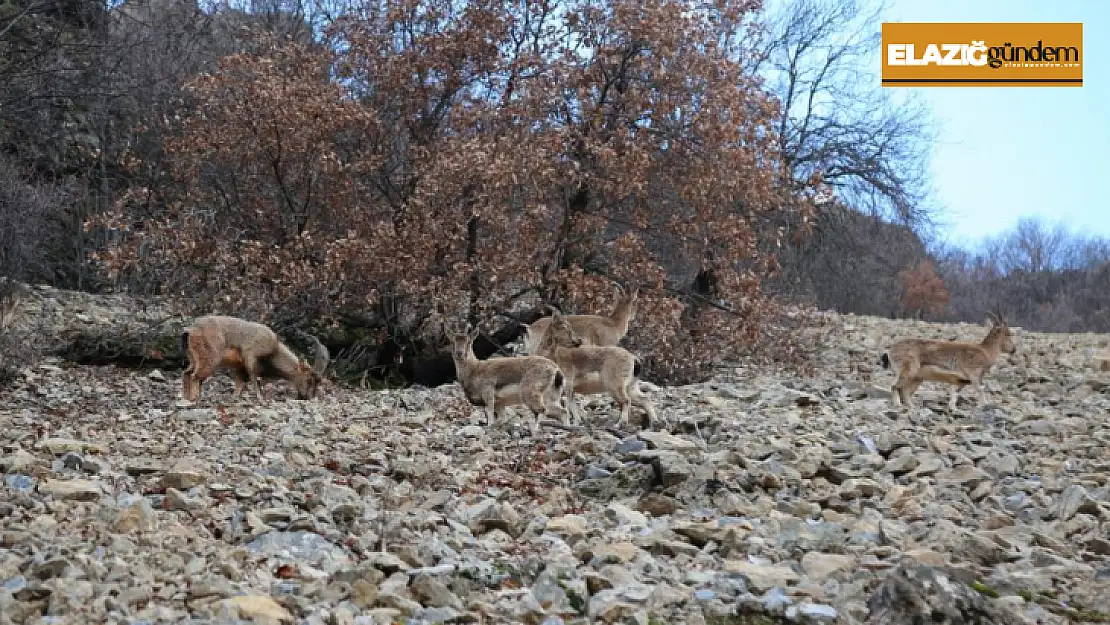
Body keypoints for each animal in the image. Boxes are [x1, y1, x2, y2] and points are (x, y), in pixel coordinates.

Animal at [180, 315, 328, 404]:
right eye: (309, 379)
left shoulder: (240, 367)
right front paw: (260, 399)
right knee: (194, 376)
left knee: (186, 373)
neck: (274, 350)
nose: (307, 398)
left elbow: (240, 384)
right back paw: (195, 399)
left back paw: (185, 399)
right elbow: (253, 377)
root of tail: (191, 330)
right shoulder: (250, 355)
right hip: (210, 359)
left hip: (194, 359)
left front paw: (235, 398)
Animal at [879, 313, 1016, 410]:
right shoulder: (974, 375)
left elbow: (954, 394)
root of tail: (890, 351)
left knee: (905, 392)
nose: (1013, 350)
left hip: (917, 379)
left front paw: (952, 407)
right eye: (1007, 333)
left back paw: (912, 407)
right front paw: (984, 405)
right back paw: (898, 405)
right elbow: (980, 389)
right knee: (895, 386)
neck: (985, 351)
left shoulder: (959, 381)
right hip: (908, 372)